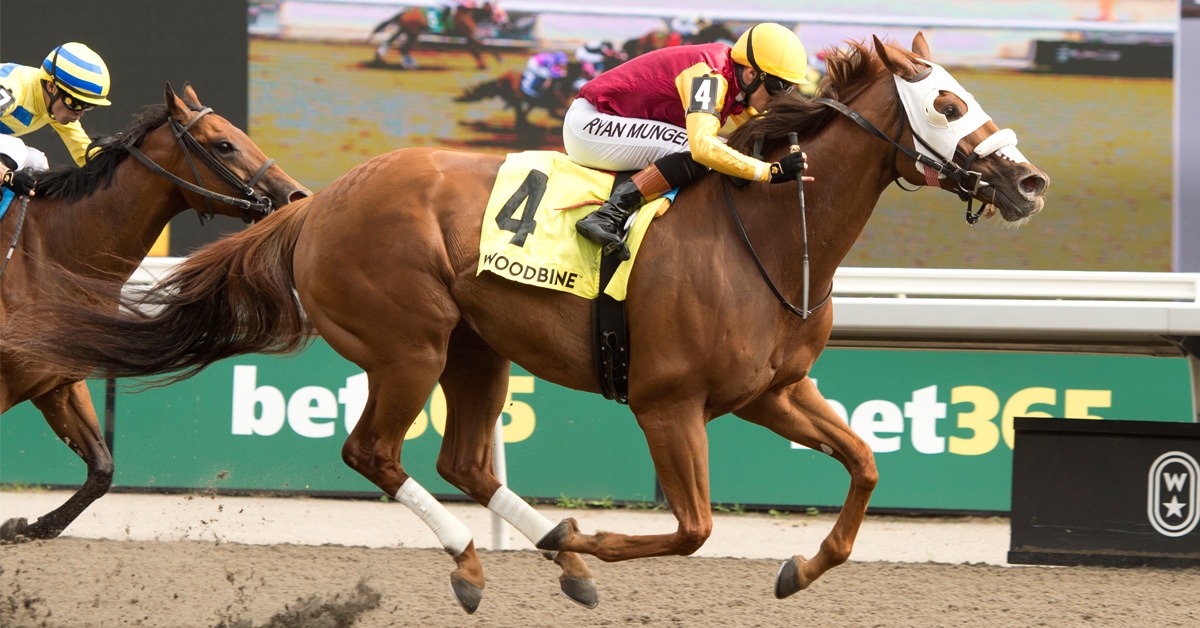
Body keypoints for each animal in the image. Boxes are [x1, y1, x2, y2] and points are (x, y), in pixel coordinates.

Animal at [0, 83, 309, 543]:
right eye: (224, 144)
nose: (296, 195)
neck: (50, 251)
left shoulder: (57, 381)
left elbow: (102, 470)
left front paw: (28, 527)